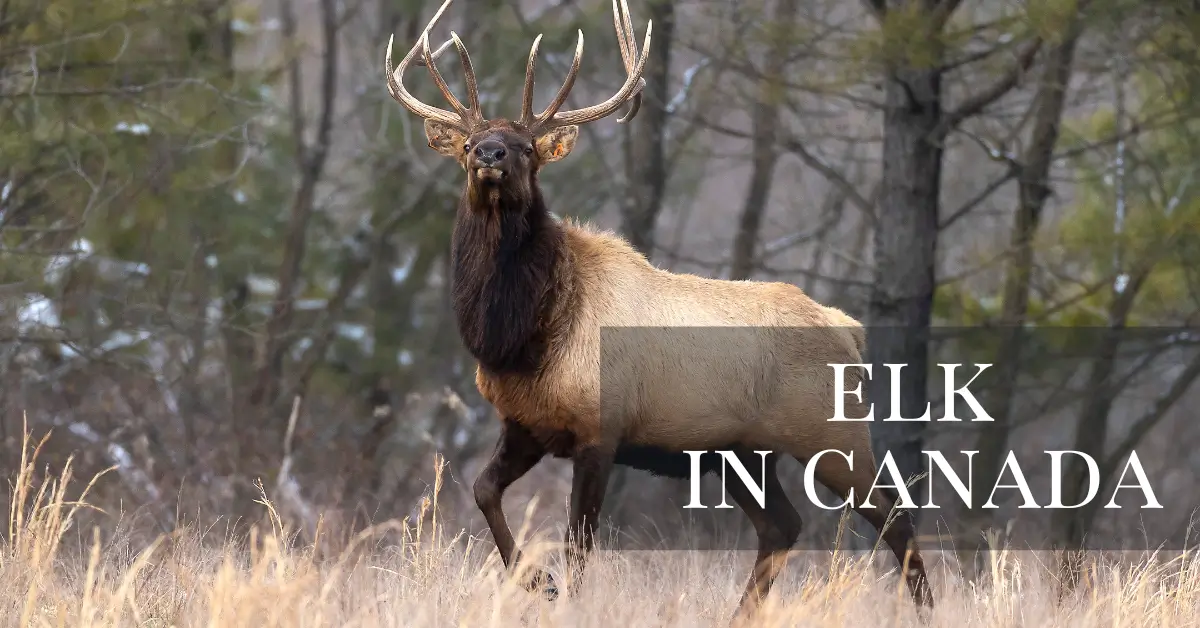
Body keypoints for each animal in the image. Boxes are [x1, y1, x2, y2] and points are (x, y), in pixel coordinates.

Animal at [384, 0, 936, 619]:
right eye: (465, 145)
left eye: (528, 147)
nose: (489, 154)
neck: (522, 339)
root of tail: (849, 330)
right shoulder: (526, 424)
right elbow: (484, 492)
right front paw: (539, 582)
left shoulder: (601, 429)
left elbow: (580, 545)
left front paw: (560, 592)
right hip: (741, 454)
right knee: (783, 526)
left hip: (831, 432)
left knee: (894, 517)